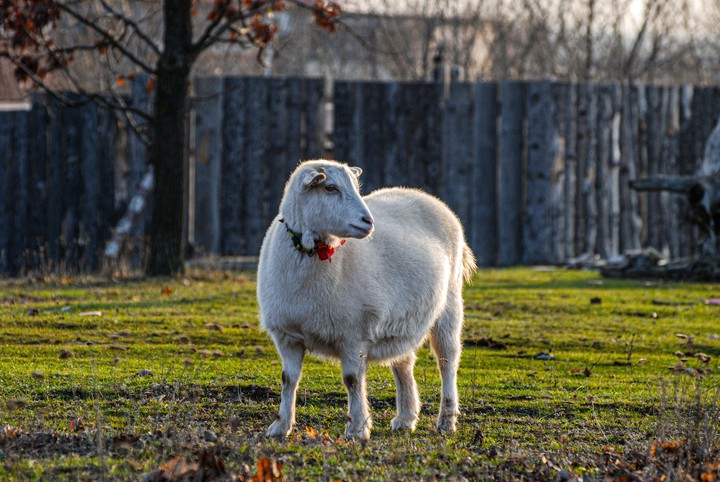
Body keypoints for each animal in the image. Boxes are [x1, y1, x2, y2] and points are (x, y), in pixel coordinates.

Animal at [257, 160, 476, 440]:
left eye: (356, 186)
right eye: (330, 187)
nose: (369, 221)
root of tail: (427, 197)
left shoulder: (352, 334)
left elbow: (352, 380)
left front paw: (357, 429)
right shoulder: (287, 335)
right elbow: (288, 379)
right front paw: (280, 426)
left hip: (450, 304)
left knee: (447, 360)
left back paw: (447, 419)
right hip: (400, 321)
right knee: (404, 363)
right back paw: (405, 418)